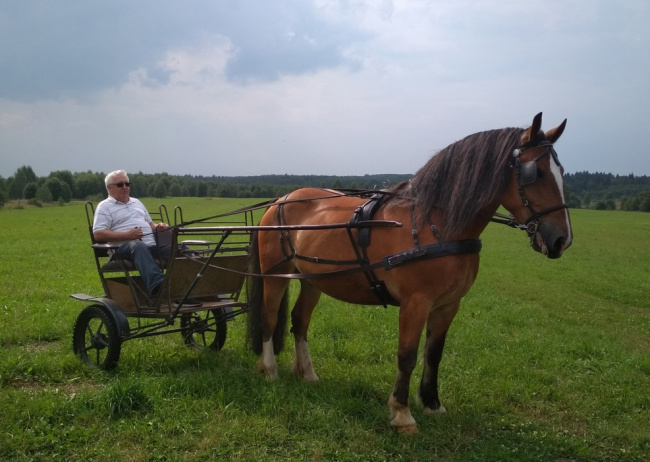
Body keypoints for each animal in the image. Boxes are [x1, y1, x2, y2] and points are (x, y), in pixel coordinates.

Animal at [246, 112, 568, 434]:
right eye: (535, 173)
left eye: (561, 171)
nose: (561, 240)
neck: (436, 225)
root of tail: (279, 201)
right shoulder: (416, 303)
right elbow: (408, 355)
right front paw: (402, 413)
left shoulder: (448, 305)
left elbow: (434, 354)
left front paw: (432, 403)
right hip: (275, 276)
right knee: (270, 317)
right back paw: (269, 369)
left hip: (312, 280)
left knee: (299, 321)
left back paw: (307, 373)